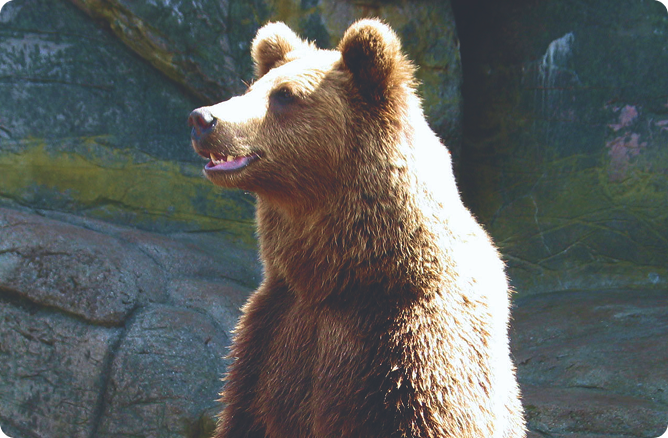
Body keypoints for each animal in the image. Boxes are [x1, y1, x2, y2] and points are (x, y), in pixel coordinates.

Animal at [188, 19, 525, 438]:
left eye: (285, 96)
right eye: (253, 88)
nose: (203, 118)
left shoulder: (417, 344)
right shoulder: (272, 337)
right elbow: (248, 411)